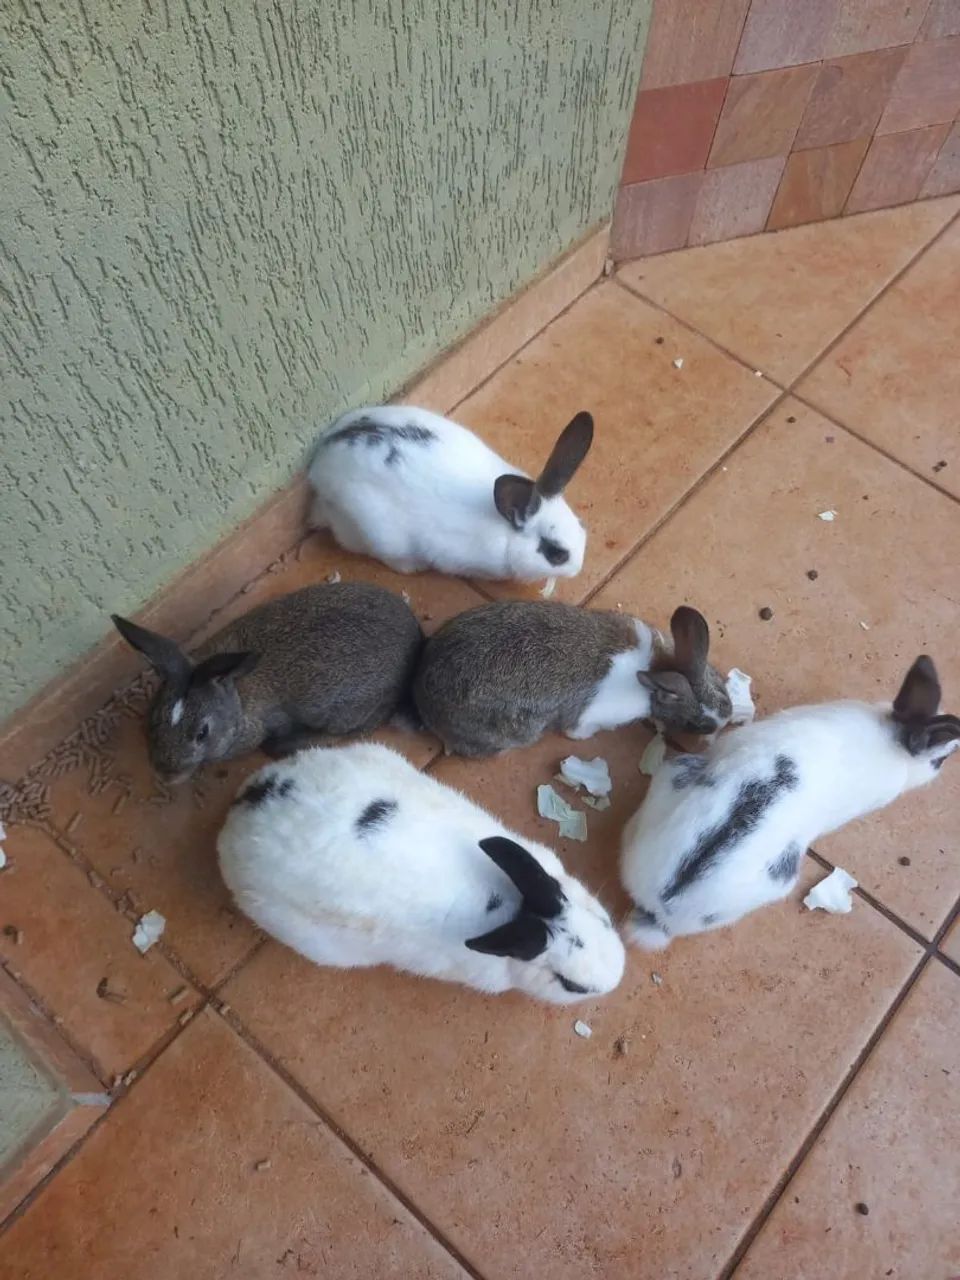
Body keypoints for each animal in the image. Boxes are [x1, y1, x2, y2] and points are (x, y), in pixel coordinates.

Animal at [111, 583, 423, 781]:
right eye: (154, 719)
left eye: (202, 733)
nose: (165, 774)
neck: (235, 695)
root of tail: (415, 638)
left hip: (344, 713)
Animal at [307, 404, 594, 581]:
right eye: (555, 553)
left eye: (581, 525)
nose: (578, 569)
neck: (506, 533)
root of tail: (319, 465)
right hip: (376, 534)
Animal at [413, 600, 732, 757]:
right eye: (699, 725)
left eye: (724, 691)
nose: (721, 730)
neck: (654, 670)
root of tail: (422, 695)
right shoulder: (590, 716)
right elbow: (577, 731)